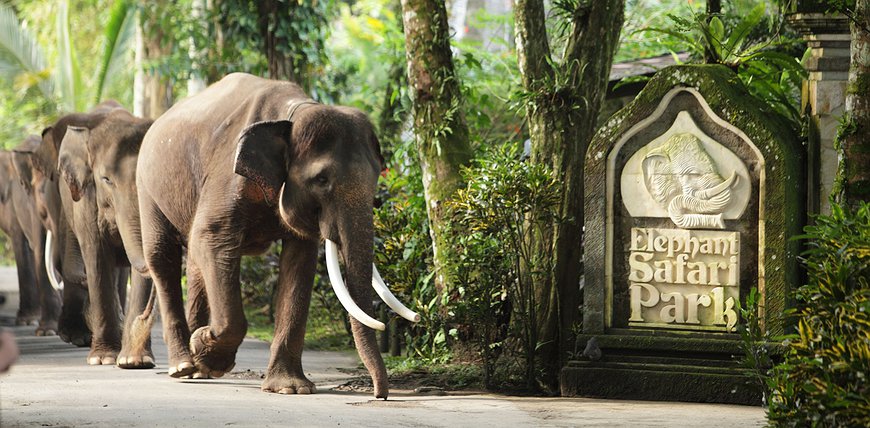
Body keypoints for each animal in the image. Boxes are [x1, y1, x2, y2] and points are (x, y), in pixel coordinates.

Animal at [136, 72, 418, 398]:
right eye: (322, 179)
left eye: (376, 178)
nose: (379, 393)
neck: (292, 114)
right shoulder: (226, 175)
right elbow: (212, 238)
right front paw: (208, 350)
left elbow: (299, 260)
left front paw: (290, 389)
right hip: (147, 186)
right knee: (163, 257)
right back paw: (183, 365)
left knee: (194, 263)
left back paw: (197, 369)